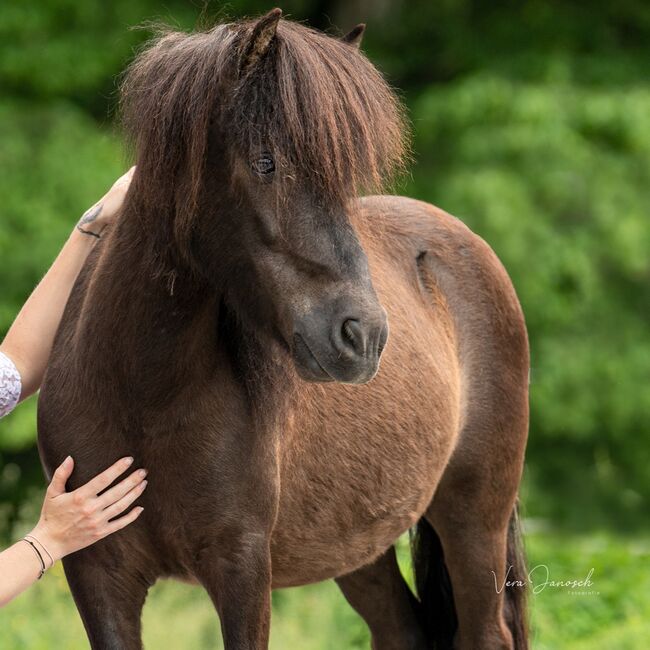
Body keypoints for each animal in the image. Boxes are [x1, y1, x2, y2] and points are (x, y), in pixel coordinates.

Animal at [38, 10, 528, 648]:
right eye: (265, 161)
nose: (363, 336)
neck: (141, 395)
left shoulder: (243, 568)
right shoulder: (97, 572)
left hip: (474, 523)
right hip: (359, 545)